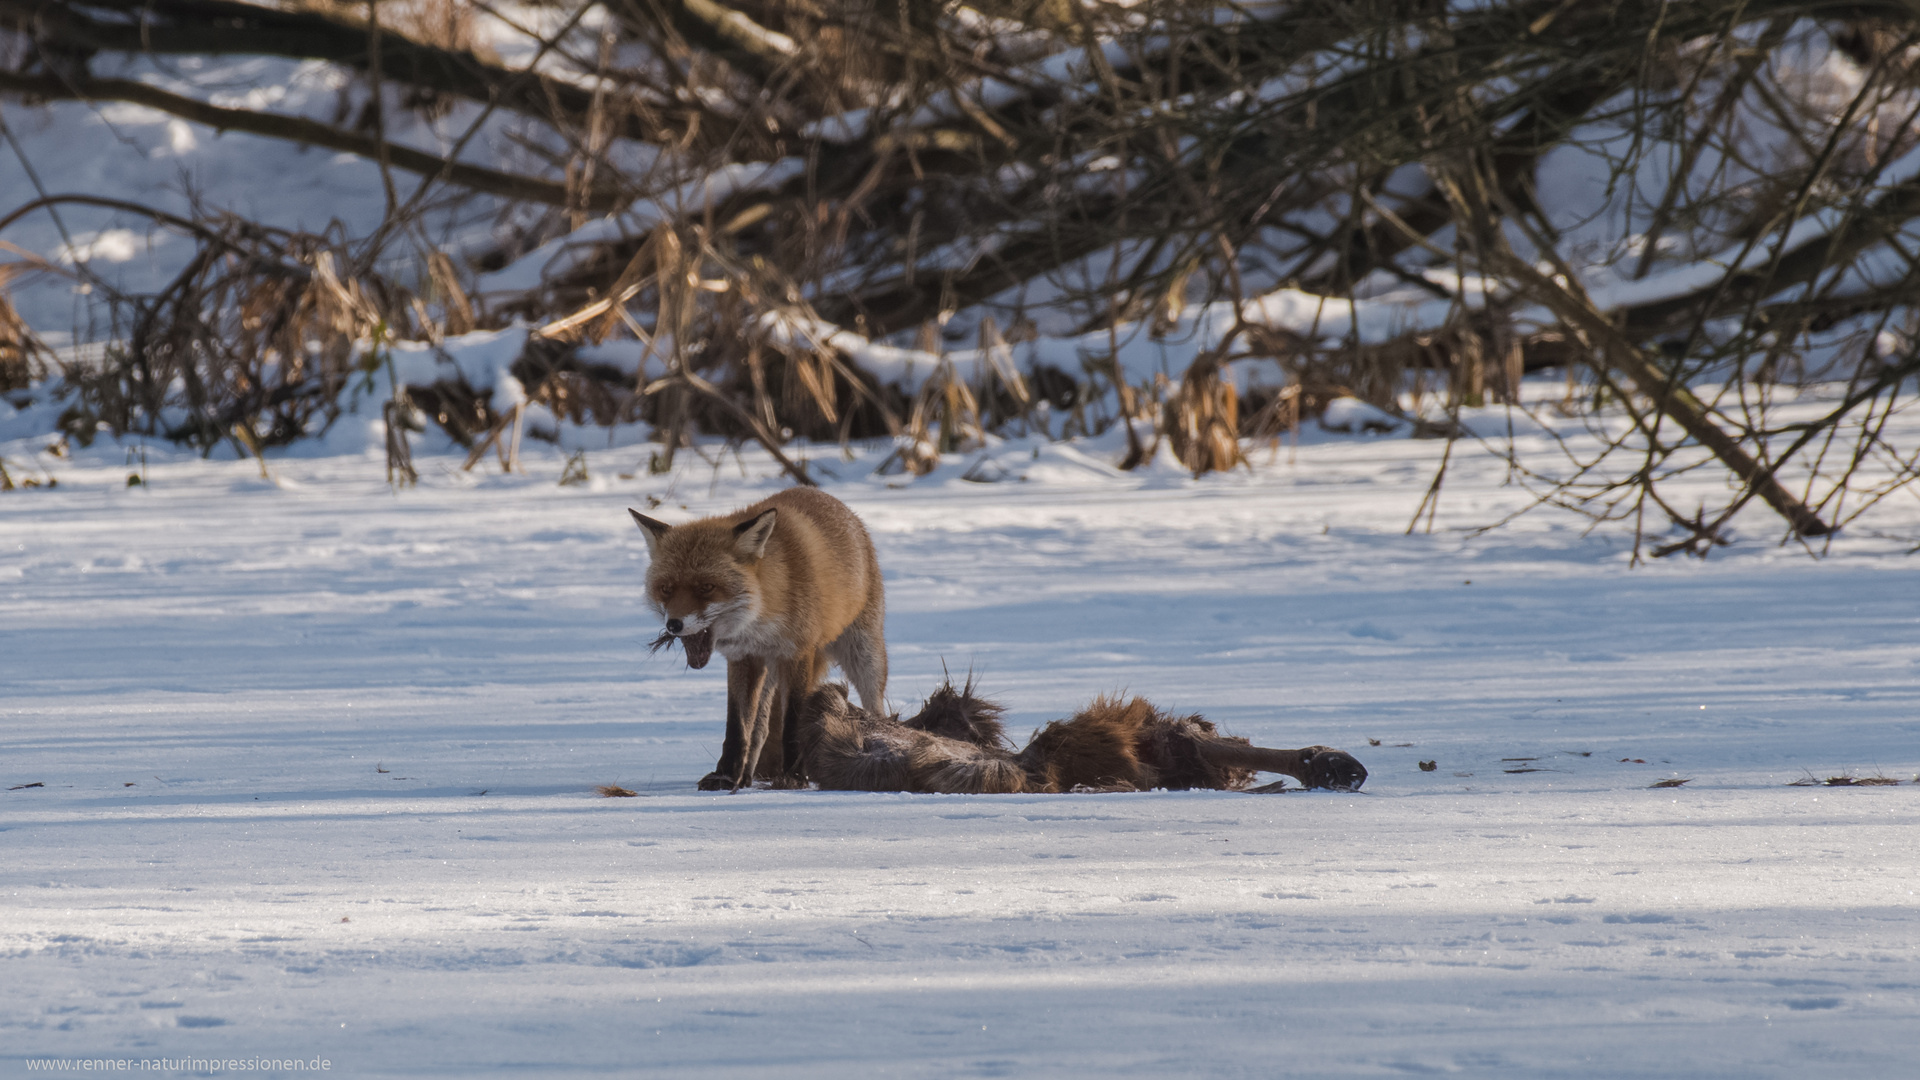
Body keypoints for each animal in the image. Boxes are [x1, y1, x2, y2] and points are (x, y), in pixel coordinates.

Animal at [637, 491, 890, 787]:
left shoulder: (797, 653)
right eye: (666, 589)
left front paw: (794, 776)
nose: (674, 625)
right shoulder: (743, 657)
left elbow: (792, 722)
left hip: (865, 656)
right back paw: (746, 777)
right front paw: (726, 775)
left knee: (876, 708)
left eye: (706, 587)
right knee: (760, 728)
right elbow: (738, 726)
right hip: (770, 674)